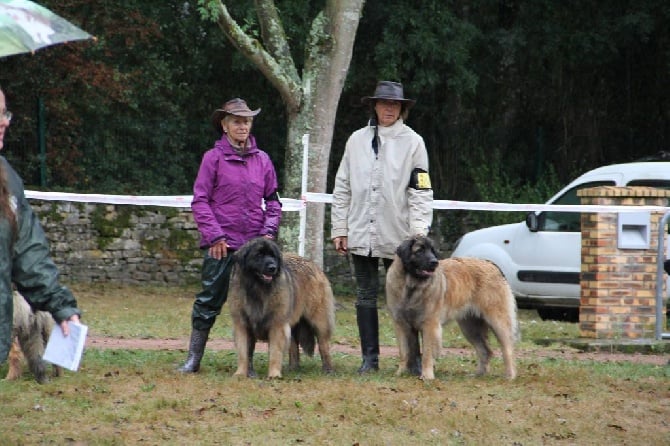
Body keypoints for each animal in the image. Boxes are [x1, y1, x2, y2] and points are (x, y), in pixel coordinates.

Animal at [230, 239, 336, 378]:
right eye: (259, 255)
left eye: (273, 256)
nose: (272, 268)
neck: (258, 290)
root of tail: (312, 264)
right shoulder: (242, 324)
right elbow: (244, 352)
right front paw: (241, 373)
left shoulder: (277, 324)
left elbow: (275, 352)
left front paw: (274, 374)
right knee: (294, 346)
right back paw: (293, 368)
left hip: (319, 320)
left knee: (323, 344)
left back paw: (328, 369)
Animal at [386, 237, 524, 380]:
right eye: (419, 251)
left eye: (432, 250)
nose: (434, 262)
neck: (411, 286)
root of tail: (491, 265)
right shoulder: (400, 324)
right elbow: (404, 351)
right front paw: (400, 373)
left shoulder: (430, 325)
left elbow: (427, 353)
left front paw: (427, 376)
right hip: (470, 327)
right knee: (485, 350)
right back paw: (479, 374)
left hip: (497, 321)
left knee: (507, 349)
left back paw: (510, 375)